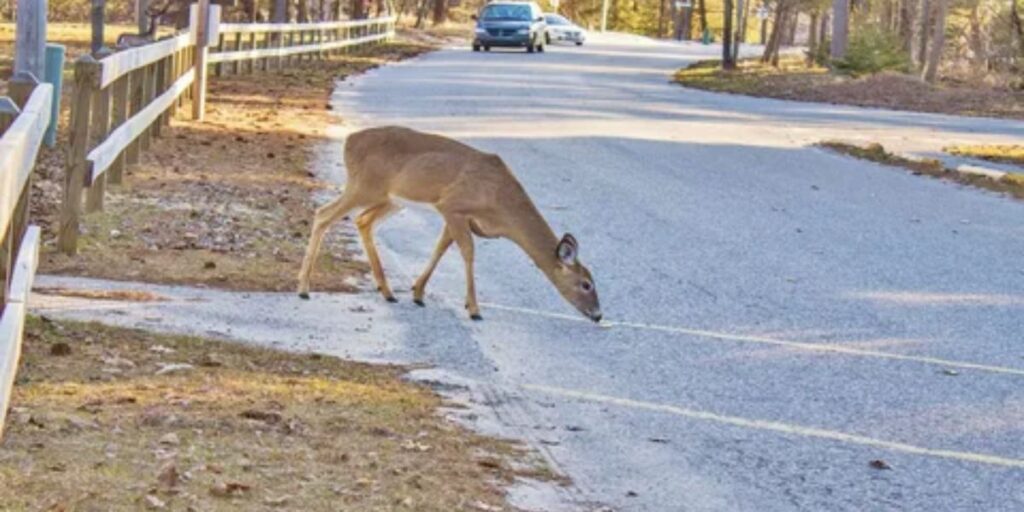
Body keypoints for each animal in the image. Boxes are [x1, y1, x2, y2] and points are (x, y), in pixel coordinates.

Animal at [296, 125, 598, 321]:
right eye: (586, 284)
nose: (598, 314)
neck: (500, 203)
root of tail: (350, 140)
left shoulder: (457, 216)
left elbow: (441, 248)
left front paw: (418, 293)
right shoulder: (453, 206)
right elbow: (467, 252)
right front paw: (474, 309)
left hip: (392, 199)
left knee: (363, 220)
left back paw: (388, 291)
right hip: (364, 186)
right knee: (323, 214)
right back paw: (303, 289)